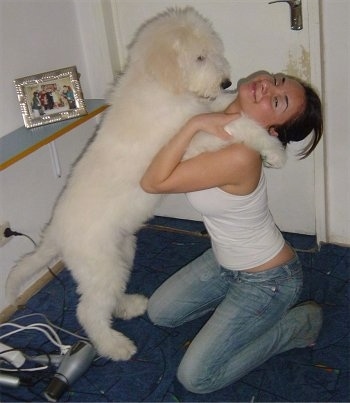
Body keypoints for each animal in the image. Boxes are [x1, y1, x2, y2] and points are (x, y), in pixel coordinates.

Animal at [6, 7, 284, 362]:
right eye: (199, 57)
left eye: (212, 51)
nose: (226, 81)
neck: (161, 86)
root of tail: (55, 230)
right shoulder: (192, 138)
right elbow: (240, 124)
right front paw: (274, 151)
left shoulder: (202, 111)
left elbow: (226, 108)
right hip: (101, 265)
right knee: (89, 311)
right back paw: (115, 347)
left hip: (123, 251)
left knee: (108, 298)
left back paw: (129, 306)